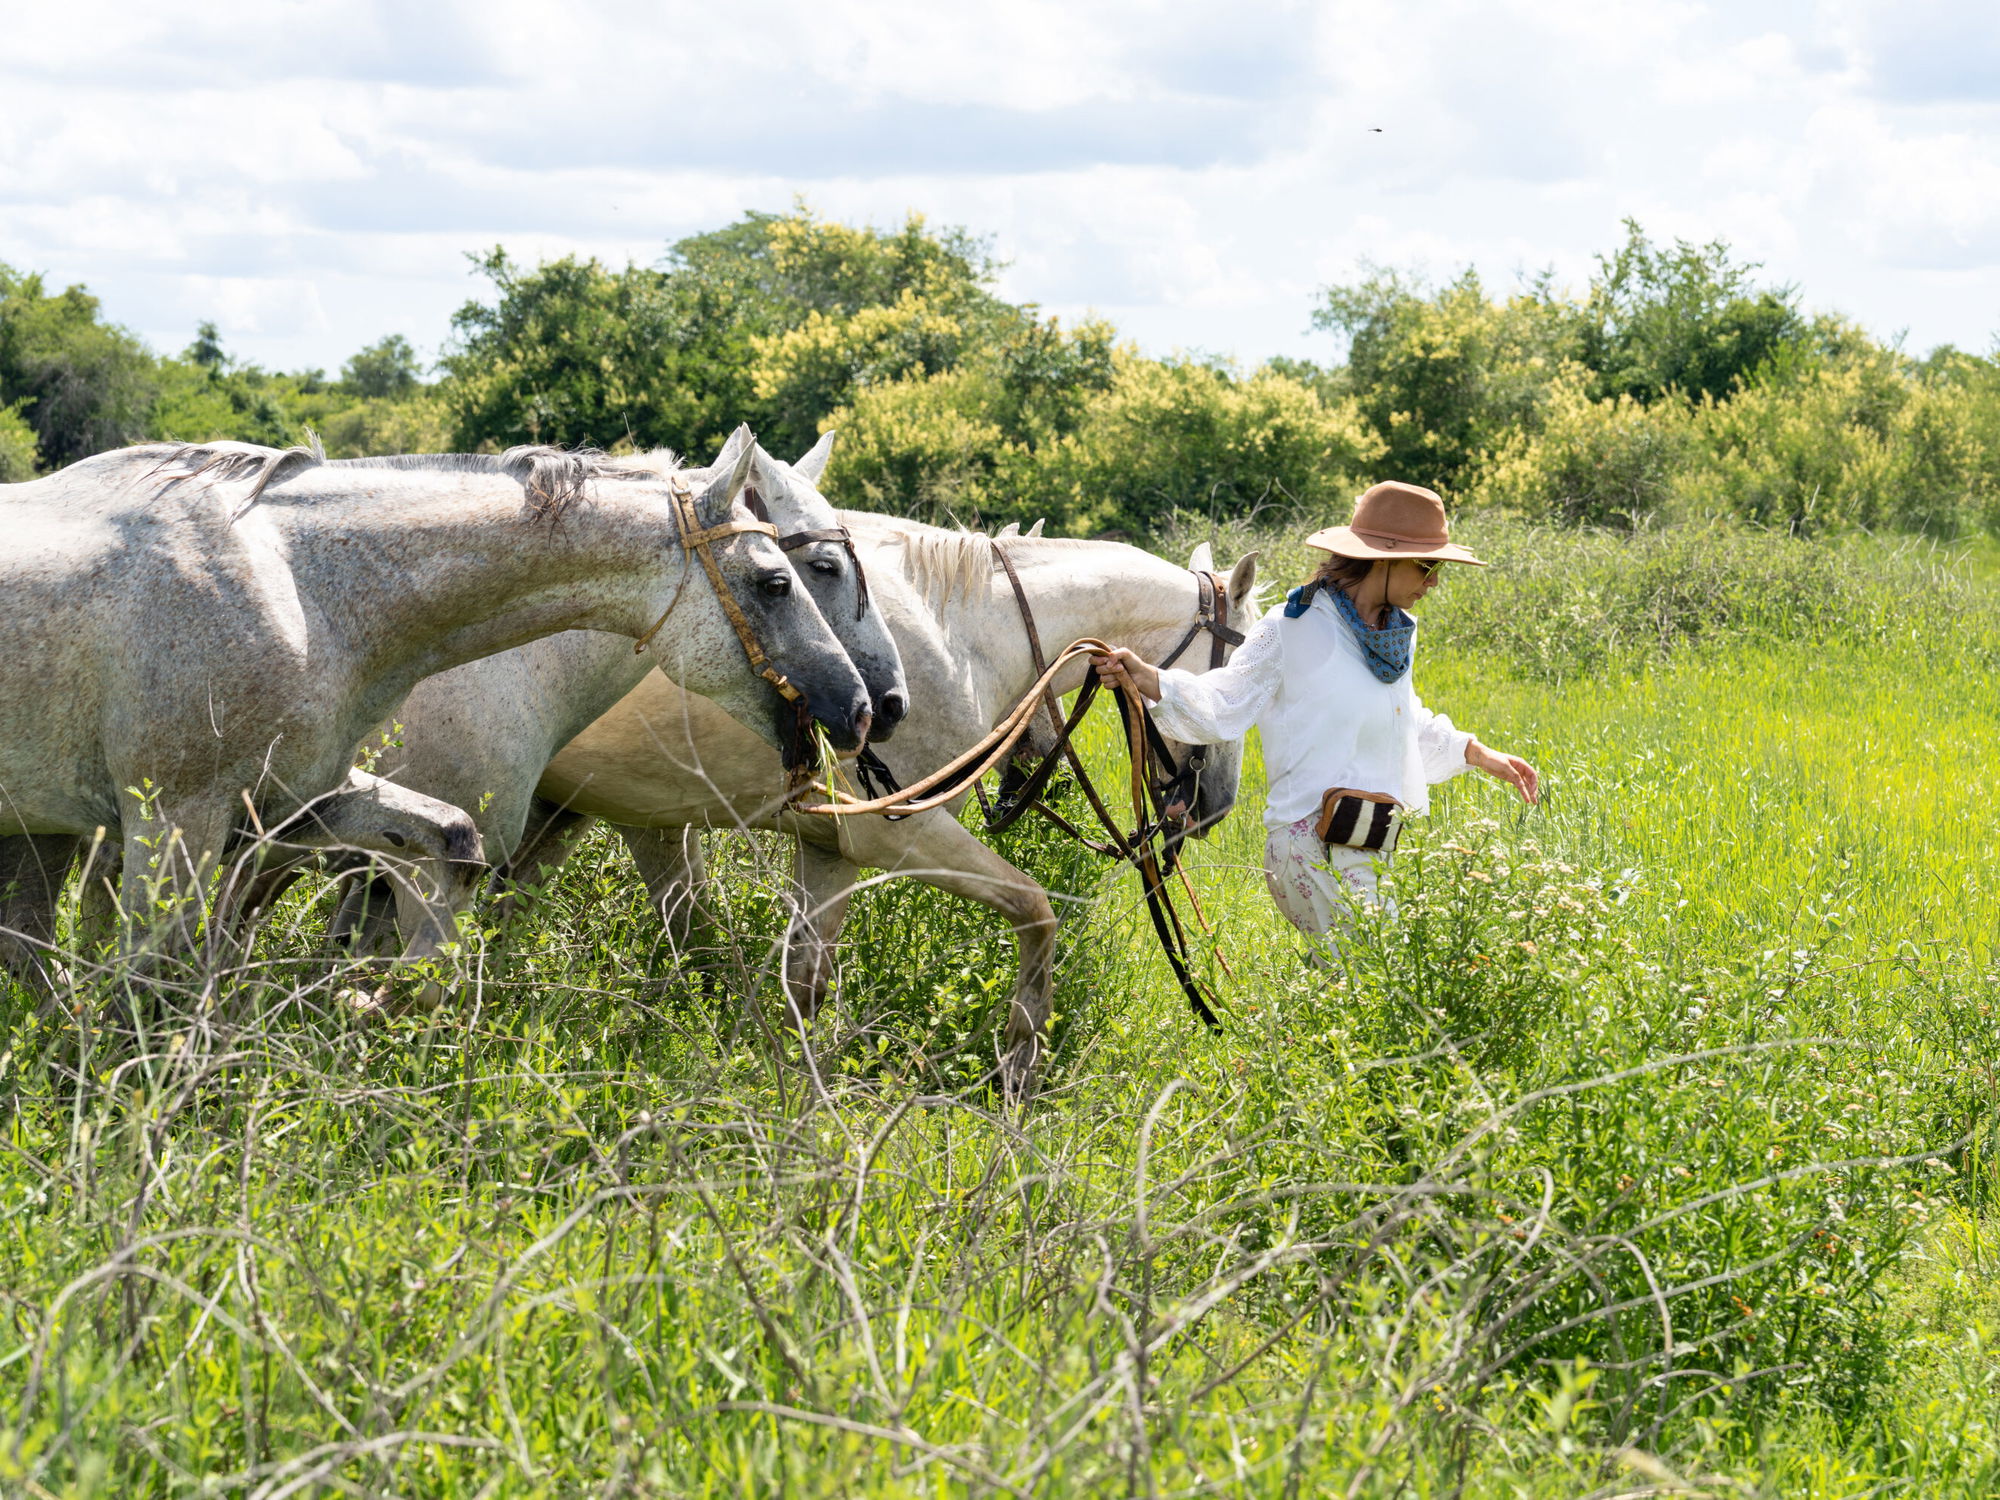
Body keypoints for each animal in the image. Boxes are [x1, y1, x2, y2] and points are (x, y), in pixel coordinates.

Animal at [0, 428, 872, 991]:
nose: (866, 706)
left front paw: (394, 994)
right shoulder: (177, 822)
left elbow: (451, 849)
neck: (303, 592)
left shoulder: (290, 808)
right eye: (779, 580)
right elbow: (151, 986)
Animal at [342, 509, 1258, 1093]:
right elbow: (1035, 911)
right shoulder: (900, 837)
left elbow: (806, 981)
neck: (956, 630)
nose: (1217, 805)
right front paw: (1019, 1062)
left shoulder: (828, 850)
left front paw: (793, 1087)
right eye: (1240, 664)